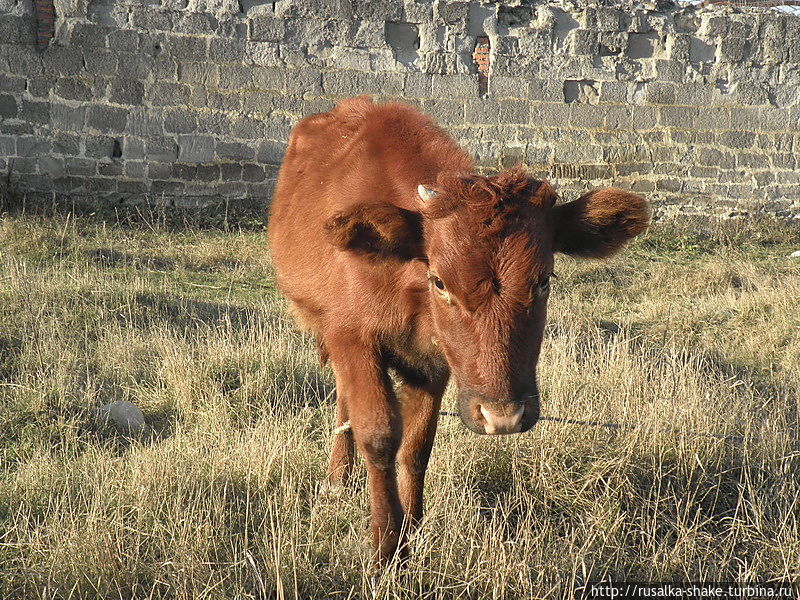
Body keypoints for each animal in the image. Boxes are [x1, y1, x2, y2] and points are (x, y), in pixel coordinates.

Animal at [268, 96, 648, 564]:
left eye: (544, 280)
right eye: (441, 282)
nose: (503, 416)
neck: (404, 280)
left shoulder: (433, 362)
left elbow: (417, 447)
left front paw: (412, 534)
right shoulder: (351, 337)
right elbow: (379, 435)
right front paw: (385, 549)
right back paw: (339, 476)